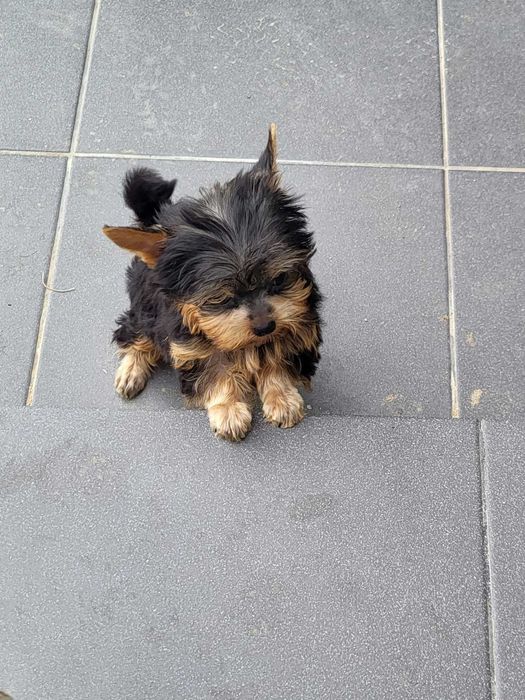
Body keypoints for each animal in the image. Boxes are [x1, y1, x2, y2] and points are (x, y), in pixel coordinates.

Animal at [103, 125, 322, 441]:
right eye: (219, 298)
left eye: (280, 278)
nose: (265, 327)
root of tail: (156, 220)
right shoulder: (191, 344)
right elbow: (215, 370)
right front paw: (228, 408)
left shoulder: (298, 320)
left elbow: (277, 355)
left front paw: (281, 396)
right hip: (144, 306)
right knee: (135, 334)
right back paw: (132, 369)